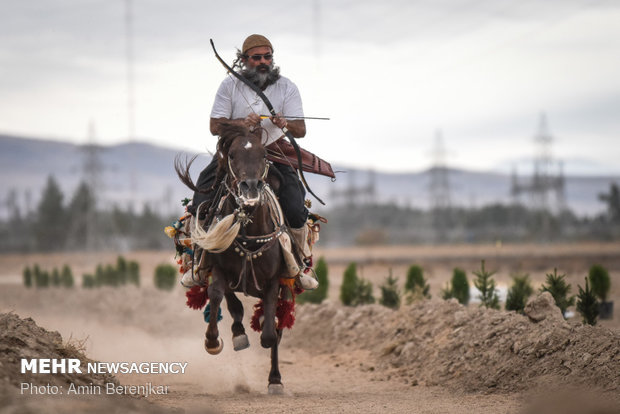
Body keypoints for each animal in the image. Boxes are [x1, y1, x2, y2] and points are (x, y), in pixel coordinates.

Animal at [176, 123, 290, 394]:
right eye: (232, 155)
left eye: (264, 154)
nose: (250, 188)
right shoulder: (219, 269)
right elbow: (221, 297)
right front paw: (218, 339)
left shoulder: (274, 281)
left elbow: (270, 333)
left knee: (277, 326)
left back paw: (275, 379)